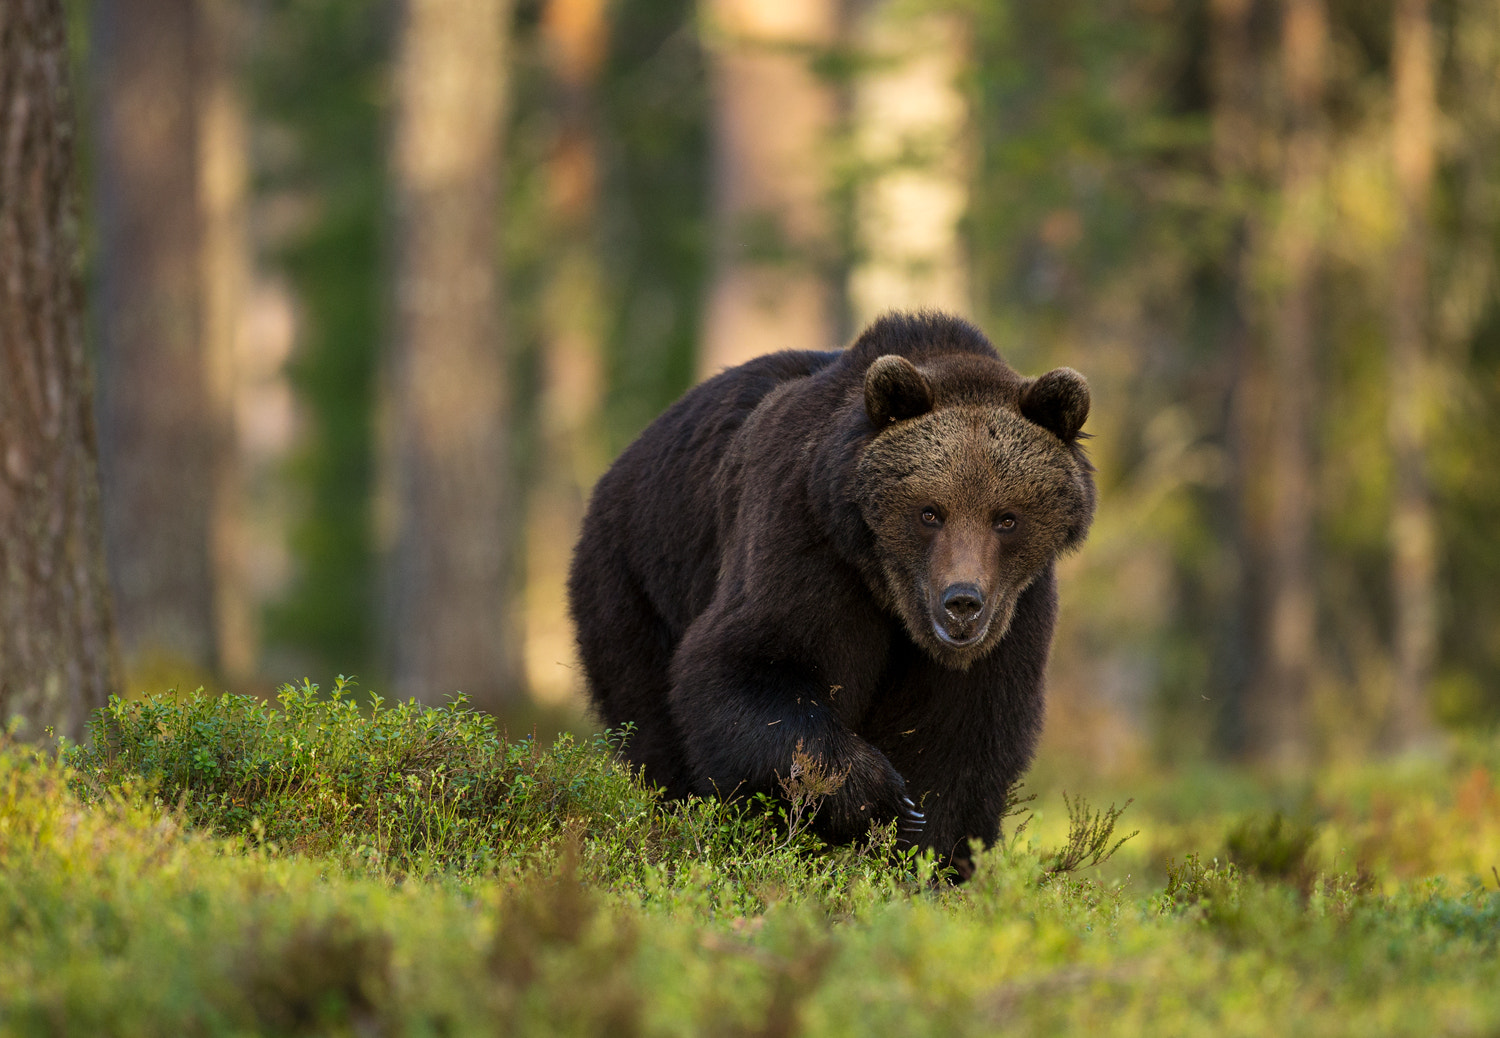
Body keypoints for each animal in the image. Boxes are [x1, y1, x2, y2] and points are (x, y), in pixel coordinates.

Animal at [567, 311, 1094, 874]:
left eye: (1006, 518)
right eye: (930, 512)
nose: (962, 602)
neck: (891, 593)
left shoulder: (1014, 615)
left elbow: (961, 737)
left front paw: (926, 858)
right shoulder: (805, 539)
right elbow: (754, 666)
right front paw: (879, 799)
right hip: (637, 577)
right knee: (652, 725)